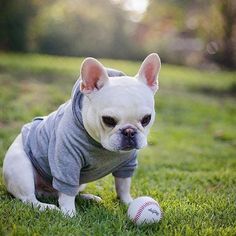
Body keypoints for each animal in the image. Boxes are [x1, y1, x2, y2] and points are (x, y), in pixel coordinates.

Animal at [2, 52, 160, 217]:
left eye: (146, 119)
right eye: (108, 120)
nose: (129, 131)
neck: (101, 146)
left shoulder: (127, 164)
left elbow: (123, 185)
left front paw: (128, 202)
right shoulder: (67, 163)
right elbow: (66, 193)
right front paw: (69, 214)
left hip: (78, 183)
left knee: (63, 193)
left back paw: (88, 198)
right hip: (21, 167)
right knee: (30, 198)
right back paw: (46, 207)